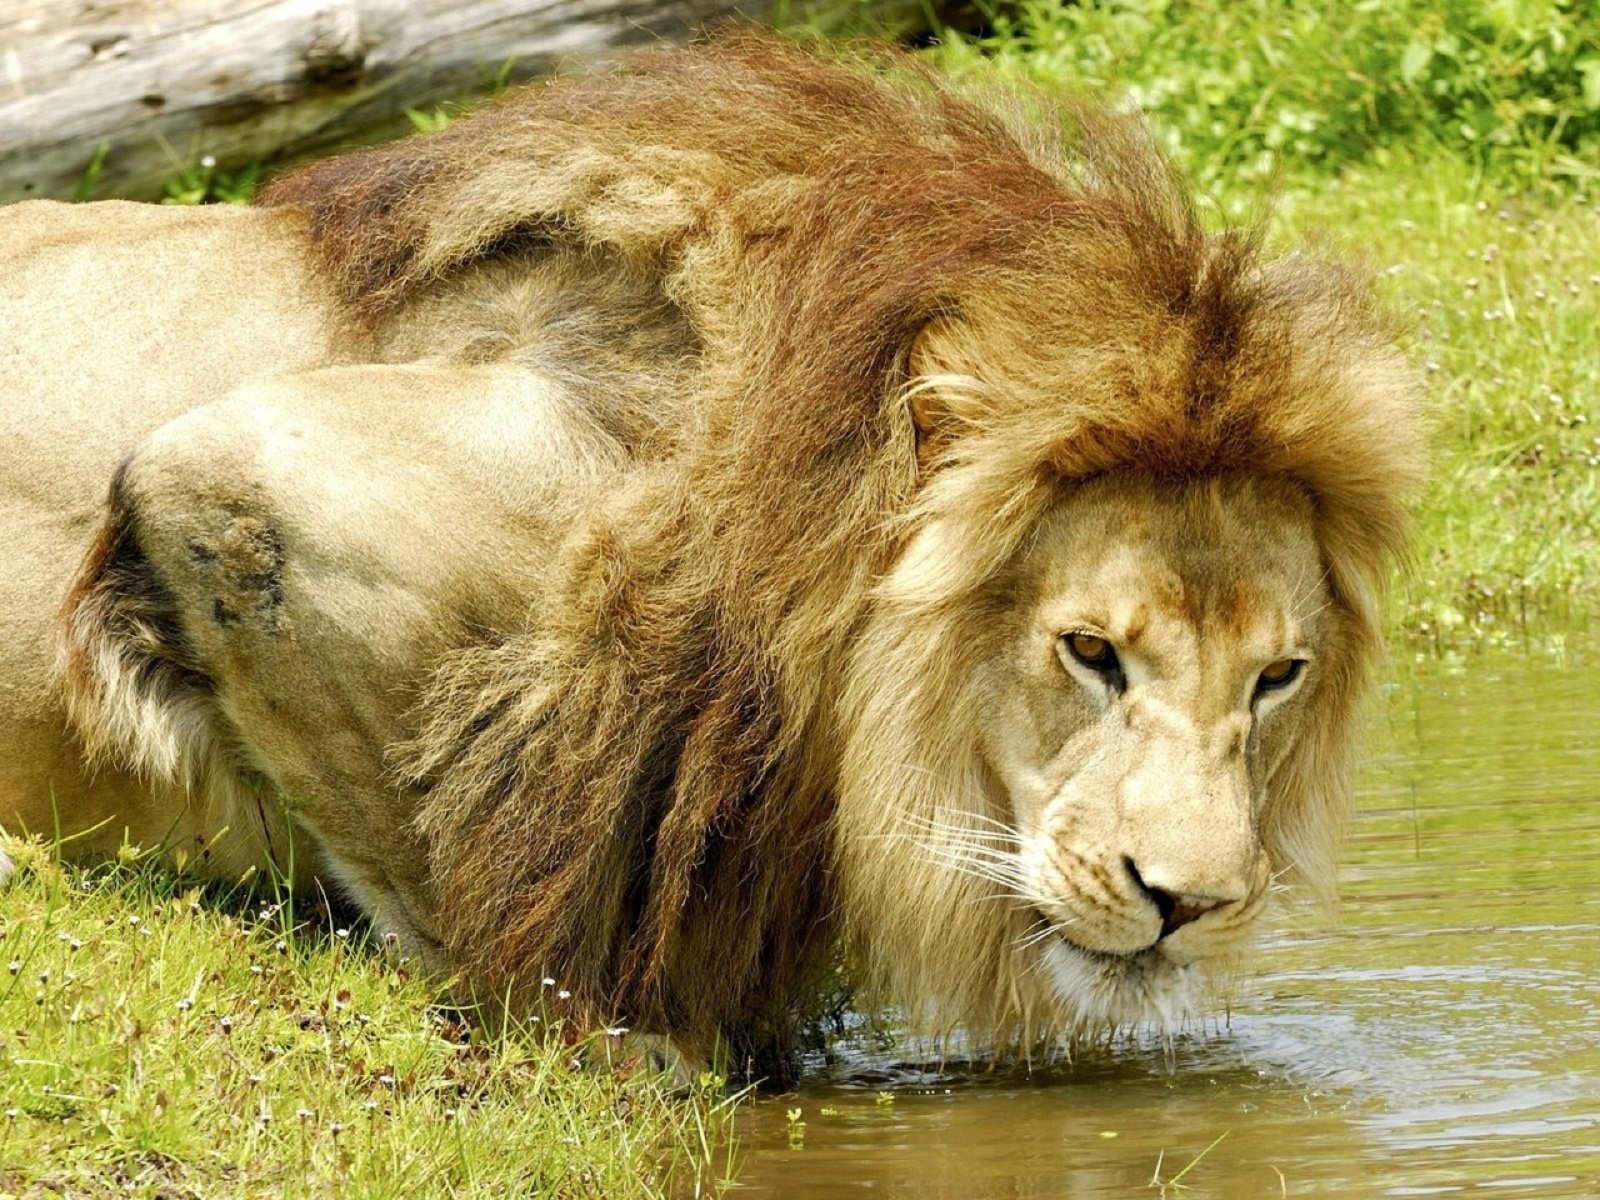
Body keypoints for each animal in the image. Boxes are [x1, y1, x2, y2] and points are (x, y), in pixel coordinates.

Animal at [0, 37, 1423, 1073]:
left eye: (1278, 677)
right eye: (1089, 654)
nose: (1193, 902)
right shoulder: (227, 475)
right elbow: (465, 877)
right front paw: (631, 1044)